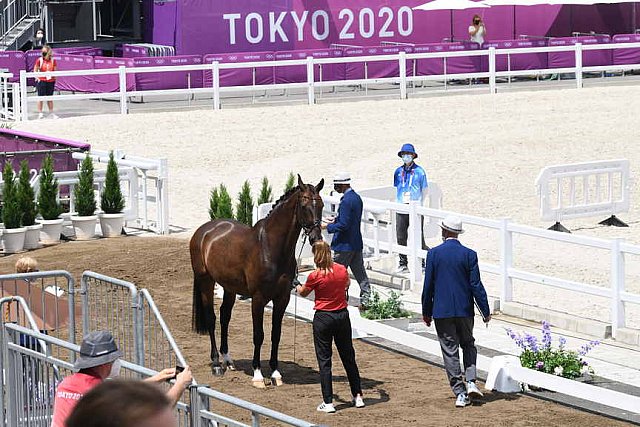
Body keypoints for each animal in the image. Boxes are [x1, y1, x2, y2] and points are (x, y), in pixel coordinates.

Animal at [189, 176, 320, 390]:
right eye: (304, 204)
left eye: (322, 205)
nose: (316, 238)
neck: (271, 247)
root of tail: (204, 230)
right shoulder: (258, 299)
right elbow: (259, 335)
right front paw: (258, 375)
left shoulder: (282, 299)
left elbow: (276, 334)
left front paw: (275, 373)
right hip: (206, 281)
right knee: (211, 318)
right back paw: (216, 363)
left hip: (229, 287)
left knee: (225, 317)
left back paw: (228, 360)